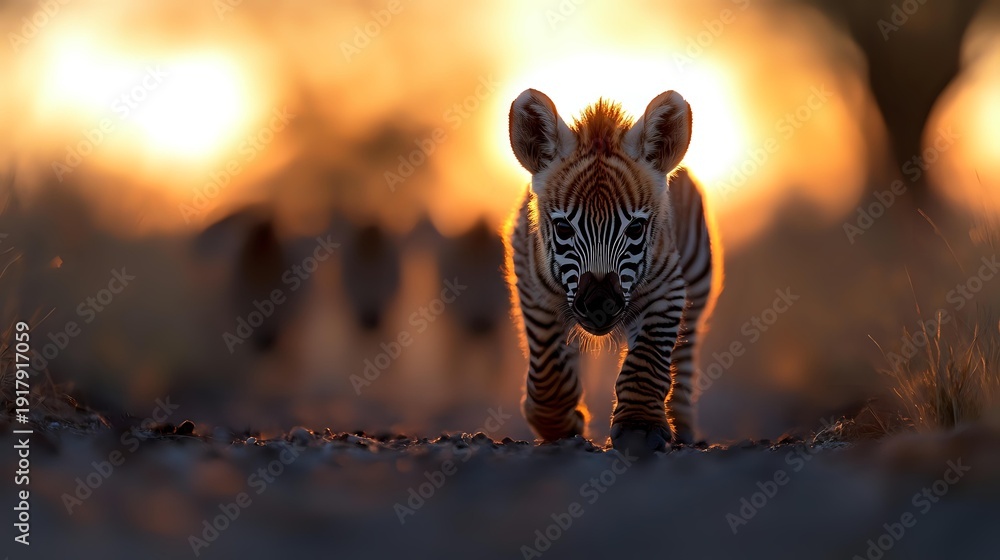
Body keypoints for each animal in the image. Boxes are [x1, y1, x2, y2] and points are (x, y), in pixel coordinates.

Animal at [504, 89, 722, 455]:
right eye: (563, 229)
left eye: (635, 229)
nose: (600, 306)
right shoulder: (534, 292)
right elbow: (549, 370)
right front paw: (557, 424)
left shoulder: (667, 290)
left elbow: (647, 359)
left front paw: (639, 428)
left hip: (696, 284)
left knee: (683, 359)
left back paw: (682, 429)